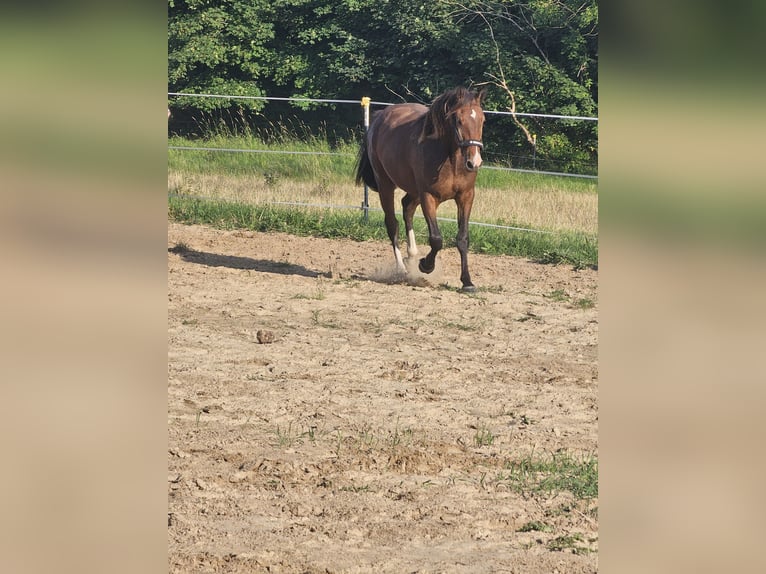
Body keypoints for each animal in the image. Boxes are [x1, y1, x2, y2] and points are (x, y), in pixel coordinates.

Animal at [355, 86, 486, 292]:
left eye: (482, 120)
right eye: (458, 120)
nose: (474, 161)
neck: (450, 159)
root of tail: (378, 118)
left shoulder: (466, 197)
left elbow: (463, 238)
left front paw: (467, 282)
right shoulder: (428, 197)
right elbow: (436, 239)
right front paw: (426, 265)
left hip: (413, 191)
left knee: (407, 207)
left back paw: (412, 255)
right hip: (386, 186)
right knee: (392, 224)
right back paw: (402, 269)